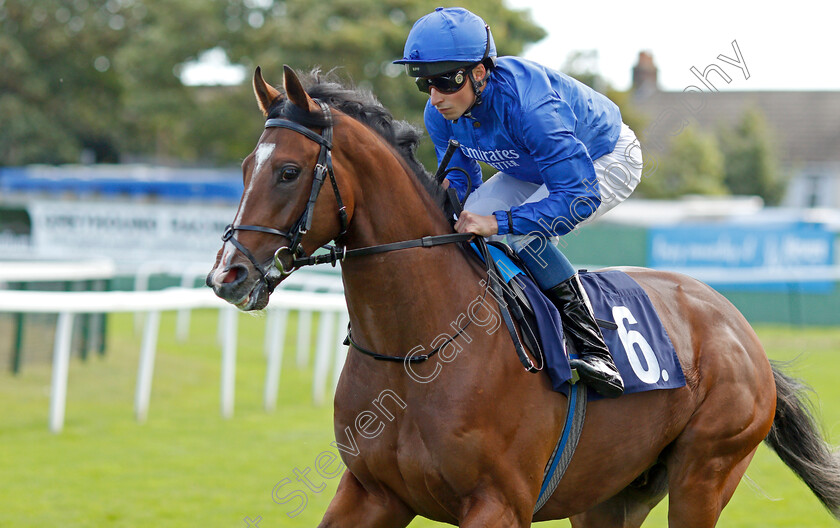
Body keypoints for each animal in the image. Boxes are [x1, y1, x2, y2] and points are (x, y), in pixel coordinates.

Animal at [208, 67, 840, 528]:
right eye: (243, 168)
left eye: (289, 172)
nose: (226, 276)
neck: (417, 349)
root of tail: (737, 324)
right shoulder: (371, 491)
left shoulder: (498, 504)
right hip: (610, 495)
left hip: (704, 473)